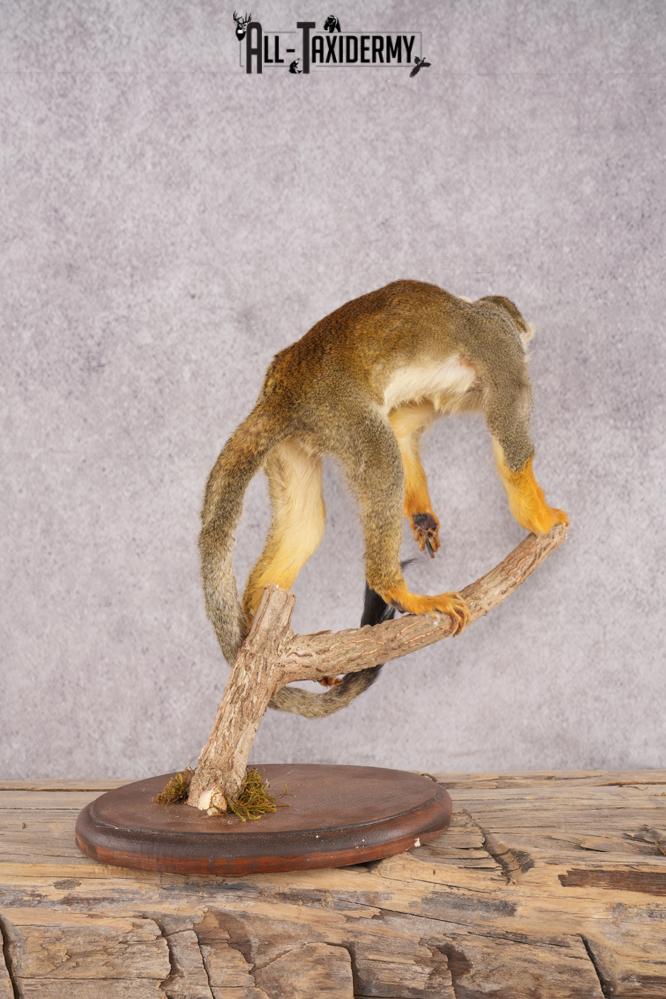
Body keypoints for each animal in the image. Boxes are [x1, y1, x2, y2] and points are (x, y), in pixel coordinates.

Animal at [199, 280, 568, 717]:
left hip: (298, 437)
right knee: (380, 454)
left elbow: (403, 426)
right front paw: (540, 517)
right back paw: (396, 589)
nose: (527, 335)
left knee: (308, 522)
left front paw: (423, 517)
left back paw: (259, 613)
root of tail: (282, 392)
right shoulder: (501, 346)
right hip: (337, 408)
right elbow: (510, 441)